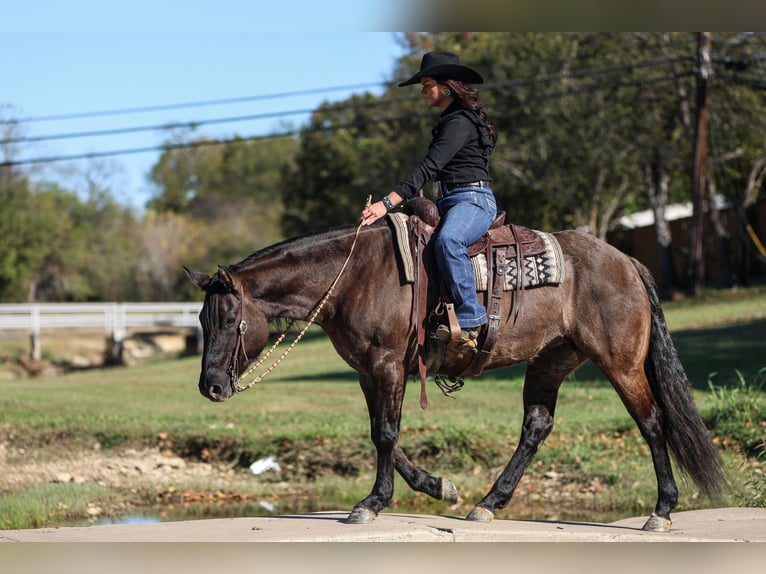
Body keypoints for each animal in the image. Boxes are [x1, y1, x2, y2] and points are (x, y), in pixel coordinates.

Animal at [186, 214, 728, 532]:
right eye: (200, 321)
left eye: (229, 321)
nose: (209, 387)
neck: (355, 275)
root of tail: (629, 261)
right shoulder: (369, 371)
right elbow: (384, 435)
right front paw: (437, 487)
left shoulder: (385, 363)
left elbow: (385, 434)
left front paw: (372, 503)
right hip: (551, 360)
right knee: (537, 426)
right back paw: (489, 501)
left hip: (621, 363)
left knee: (653, 423)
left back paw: (661, 511)